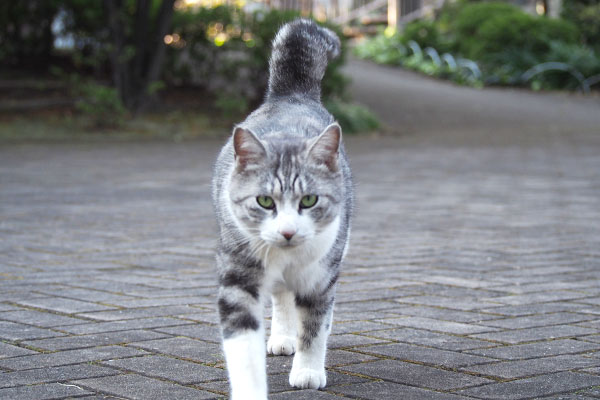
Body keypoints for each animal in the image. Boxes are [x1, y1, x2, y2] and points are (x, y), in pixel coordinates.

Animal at [211, 18, 352, 400]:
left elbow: (315, 328)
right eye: (264, 201)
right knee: (281, 297)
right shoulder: (238, 277)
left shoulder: (321, 279)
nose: (288, 231)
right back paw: (282, 337)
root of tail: (290, 96)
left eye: (309, 200)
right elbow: (243, 349)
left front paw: (308, 371)